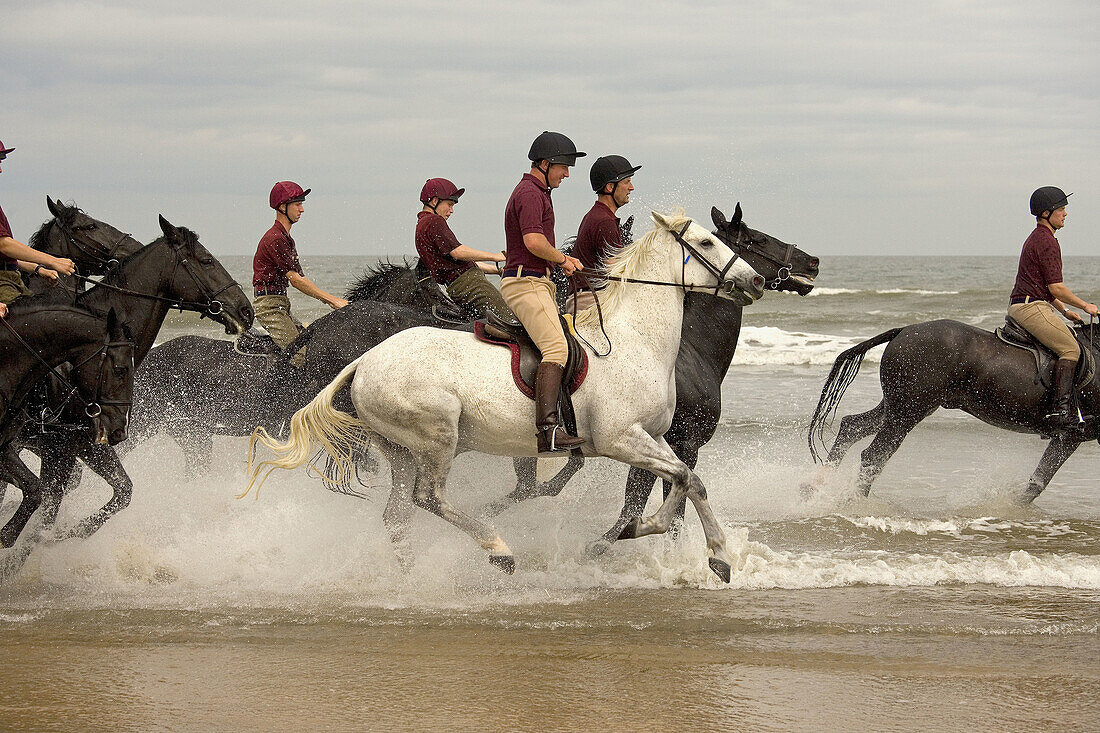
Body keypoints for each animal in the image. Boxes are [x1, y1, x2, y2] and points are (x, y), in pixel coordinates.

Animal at [247, 208, 765, 581]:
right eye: (706, 242)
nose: (756, 280)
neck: (636, 339)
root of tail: (364, 362)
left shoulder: (656, 438)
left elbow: (691, 482)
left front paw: (718, 557)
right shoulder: (621, 440)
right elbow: (674, 484)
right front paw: (638, 531)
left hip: (400, 451)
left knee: (397, 516)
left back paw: (411, 576)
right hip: (437, 438)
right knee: (428, 498)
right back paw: (498, 550)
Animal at [805, 319, 1100, 501]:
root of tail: (904, 330)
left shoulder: (1071, 437)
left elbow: (1038, 481)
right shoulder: (1073, 435)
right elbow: (1039, 480)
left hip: (897, 407)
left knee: (852, 426)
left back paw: (814, 487)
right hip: (907, 412)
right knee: (874, 455)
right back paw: (854, 502)